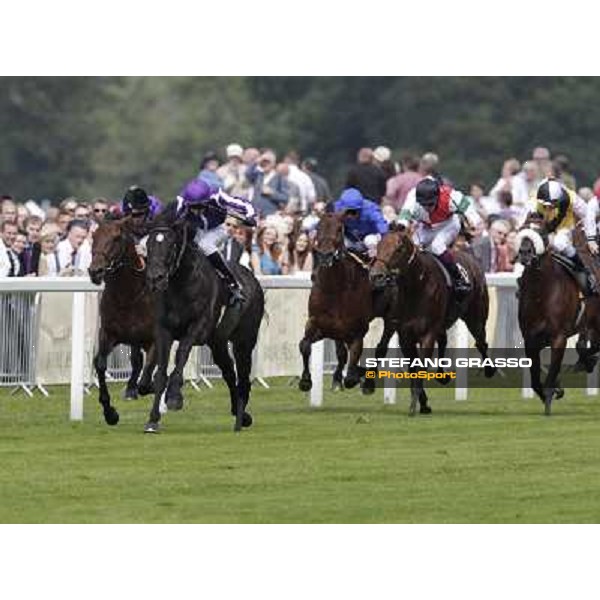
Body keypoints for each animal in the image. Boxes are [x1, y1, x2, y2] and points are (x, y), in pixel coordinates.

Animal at [88, 218, 156, 424]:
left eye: (116, 238)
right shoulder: (108, 334)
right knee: (136, 362)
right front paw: (110, 413)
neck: (127, 294)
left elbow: (147, 381)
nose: (95, 271)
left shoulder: (154, 340)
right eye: (94, 236)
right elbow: (100, 363)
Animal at [144, 218, 264, 434]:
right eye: (148, 245)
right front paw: (153, 419)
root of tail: (253, 279)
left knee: (243, 377)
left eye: (171, 245)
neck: (181, 285)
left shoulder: (198, 327)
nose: (155, 278)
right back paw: (240, 414)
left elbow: (182, 352)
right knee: (229, 372)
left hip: (244, 340)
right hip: (218, 342)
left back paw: (240, 419)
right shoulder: (163, 330)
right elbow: (161, 370)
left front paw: (174, 397)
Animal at [372, 227, 494, 414]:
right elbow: (413, 367)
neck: (417, 287)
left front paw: (416, 404)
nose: (376, 275)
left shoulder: (428, 333)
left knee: (481, 342)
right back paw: (442, 375)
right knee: (444, 340)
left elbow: (421, 365)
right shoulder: (405, 335)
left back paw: (489, 370)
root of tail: (471, 258)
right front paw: (422, 402)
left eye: (398, 249)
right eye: (378, 246)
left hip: (476, 317)